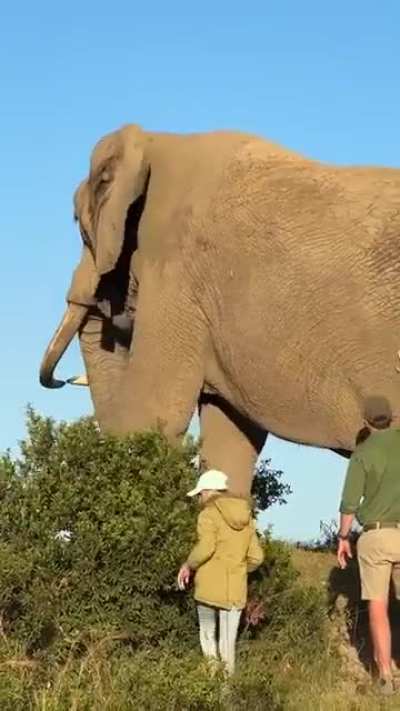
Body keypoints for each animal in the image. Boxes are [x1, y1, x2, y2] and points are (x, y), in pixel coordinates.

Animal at [40, 123, 400, 494]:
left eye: (79, 225)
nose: (62, 380)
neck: (156, 141)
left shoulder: (177, 274)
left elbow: (151, 414)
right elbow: (230, 441)